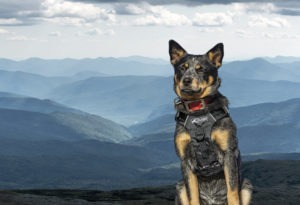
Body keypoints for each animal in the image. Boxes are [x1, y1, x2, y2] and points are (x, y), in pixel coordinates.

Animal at [169, 40, 253, 205]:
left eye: (201, 69)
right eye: (182, 68)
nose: (186, 80)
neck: (198, 110)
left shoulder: (228, 154)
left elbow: (232, 191)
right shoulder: (185, 161)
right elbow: (193, 195)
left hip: (247, 186)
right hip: (179, 187)